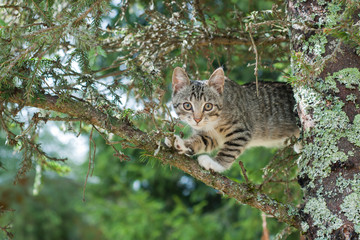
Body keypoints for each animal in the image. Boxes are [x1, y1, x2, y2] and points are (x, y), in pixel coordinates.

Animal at [167, 66, 300, 172]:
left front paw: (216, 163)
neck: (213, 122)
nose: (197, 119)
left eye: (208, 106)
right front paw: (182, 143)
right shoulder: (212, 136)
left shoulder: (241, 131)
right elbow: (201, 140)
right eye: (187, 105)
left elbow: (230, 150)